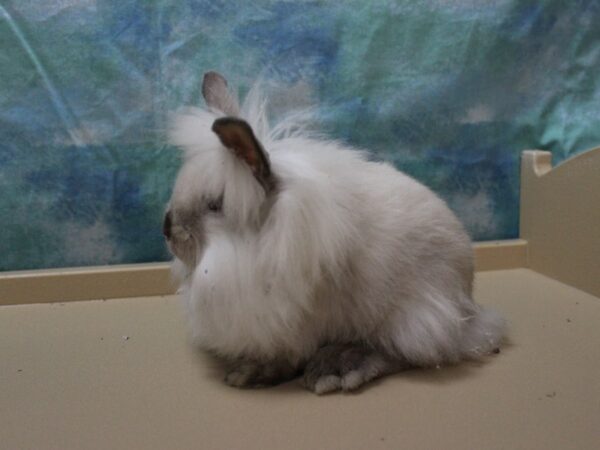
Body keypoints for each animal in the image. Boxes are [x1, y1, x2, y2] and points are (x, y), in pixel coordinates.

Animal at [162, 71, 504, 394]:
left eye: (215, 205)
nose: (168, 230)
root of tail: (467, 302)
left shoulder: (291, 319)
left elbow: (287, 353)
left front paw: (252, 372)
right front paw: (250, 371)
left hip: (415, 317)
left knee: (408, 353)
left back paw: (338, 367)